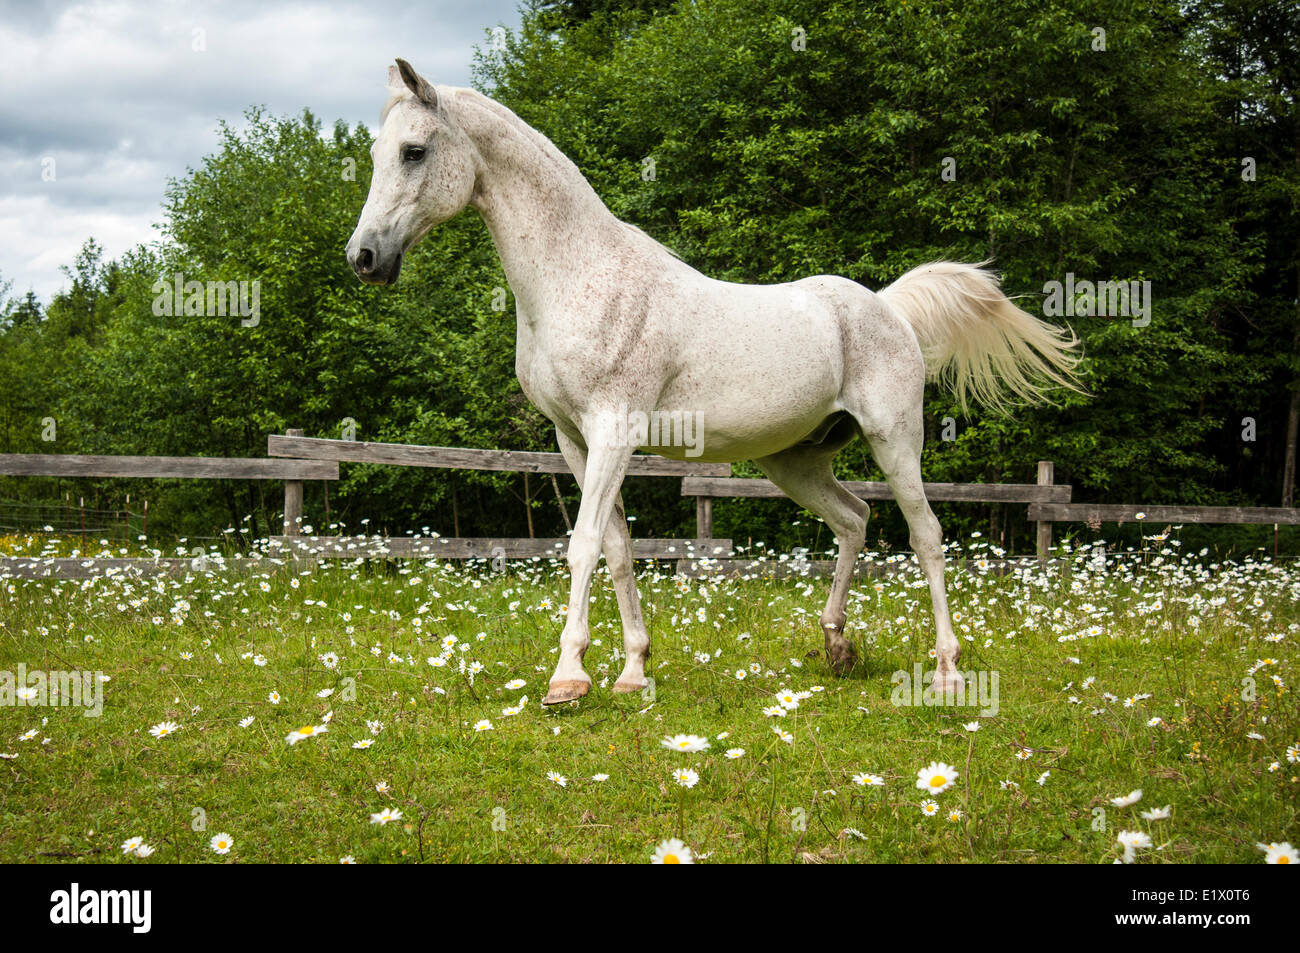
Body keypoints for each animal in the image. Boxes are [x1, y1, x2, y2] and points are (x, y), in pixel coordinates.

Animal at [348, 57, 1086, 696]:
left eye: (414, 151)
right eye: (379, 155)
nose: (364, 258)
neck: (579, 275)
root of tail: (888, 308)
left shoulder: (613, 431)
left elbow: (583, 546)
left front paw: (568, 678)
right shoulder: (575, 441)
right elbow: (618, 549)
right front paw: (632, 672)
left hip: (894, 438)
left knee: (926, 538)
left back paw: (947, 670)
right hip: (796, 461)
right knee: (854, 520)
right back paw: (837, 645)